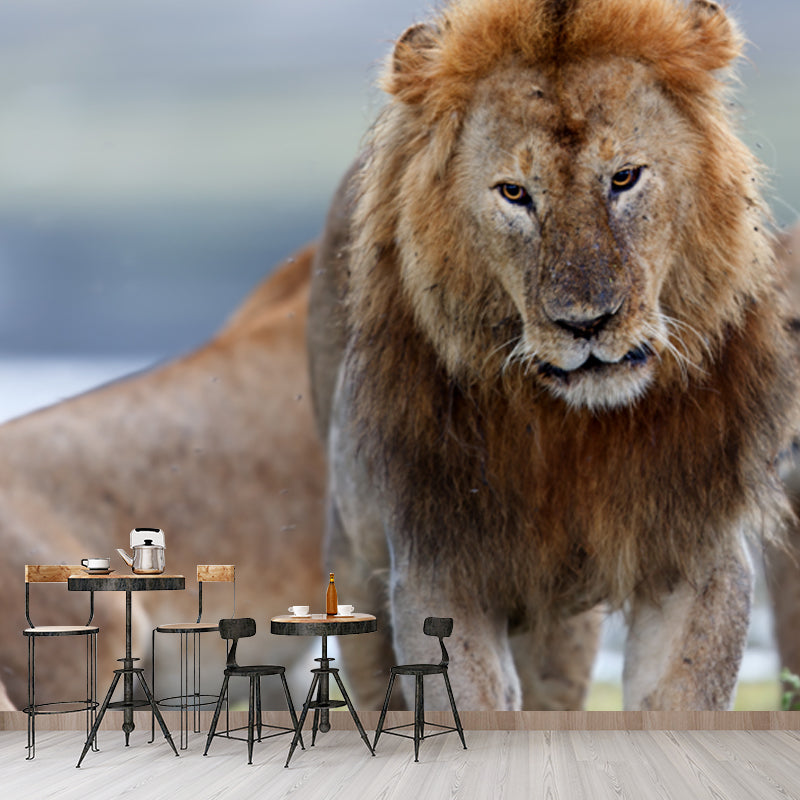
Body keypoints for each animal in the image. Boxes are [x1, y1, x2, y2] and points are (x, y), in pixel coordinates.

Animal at [306, 0, 800, 711]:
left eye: (624, 178)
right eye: (515, 193)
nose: (586, 322)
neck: (574, 433)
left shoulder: (697, 554)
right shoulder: (437, 564)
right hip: (353, 558)